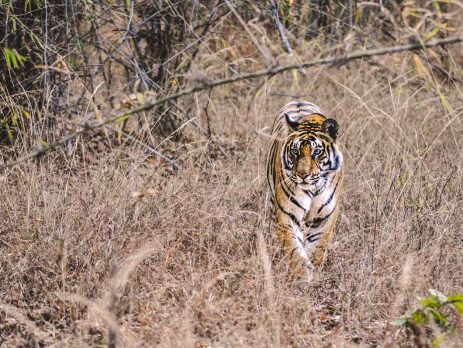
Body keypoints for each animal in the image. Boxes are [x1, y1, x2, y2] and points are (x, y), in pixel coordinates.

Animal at [268, 100, 344, 282]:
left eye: (317, 152)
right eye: (295, 152)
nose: (303, 175)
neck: (313, 189)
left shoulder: (325, 217)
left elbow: (317, 249)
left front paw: (314, 276)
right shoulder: (287, 214)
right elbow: (293, 248)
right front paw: (301, 274)